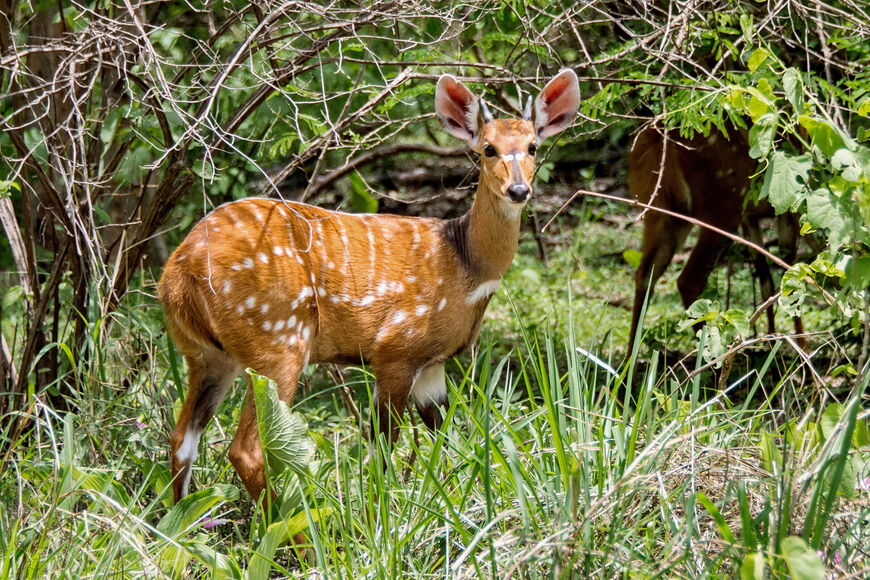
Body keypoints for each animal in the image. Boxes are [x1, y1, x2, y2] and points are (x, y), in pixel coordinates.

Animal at [160, 68, 584, 502]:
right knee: (246, 449)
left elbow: (447, 439)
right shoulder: (396, 348)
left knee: (181, 439)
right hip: (278, 339)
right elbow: (383, 445)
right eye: (488, 149)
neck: (465, 266)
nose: (519, 190)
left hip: (206, 354)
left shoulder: (432, 364)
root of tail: (178, 273)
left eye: (532, 146)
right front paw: (381, 508)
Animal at [628, 123, 804, 354]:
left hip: (666, 211)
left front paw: (771, 343)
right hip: (721, 211)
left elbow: (767, 279)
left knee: (645, 273)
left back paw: (629, 358)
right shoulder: (790, 207)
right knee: (688, 280)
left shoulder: (751, 218)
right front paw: (800, 346)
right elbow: (790, 275)